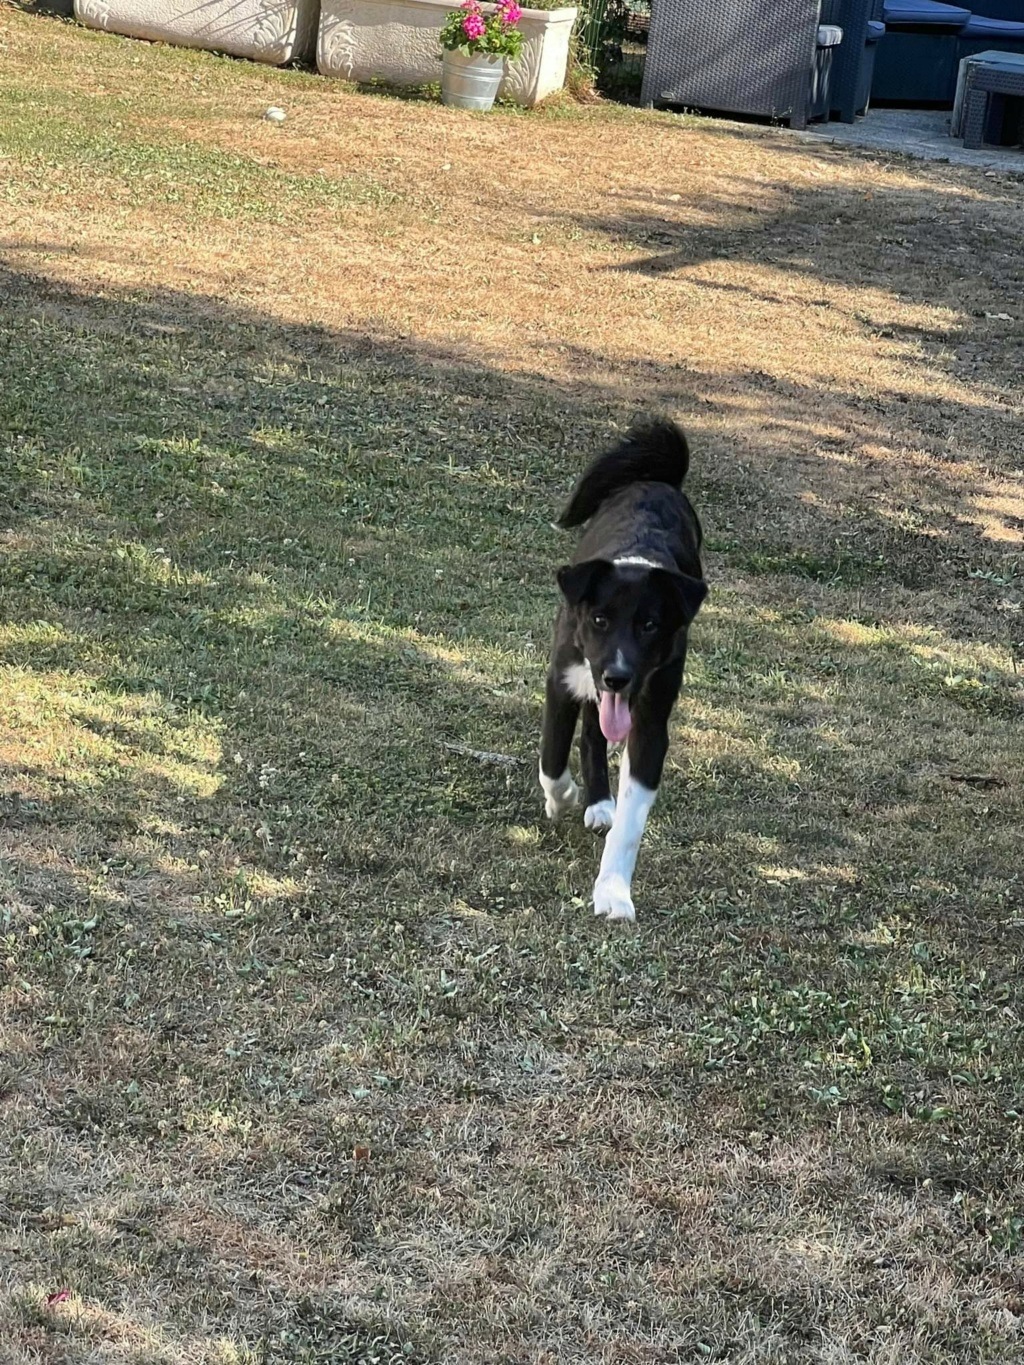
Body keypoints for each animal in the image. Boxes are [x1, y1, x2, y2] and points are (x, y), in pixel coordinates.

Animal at [540, 417, 709, 917]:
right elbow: (552, 757)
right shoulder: (563, 679)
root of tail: (660, 480)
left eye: (650, 625)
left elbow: (630, 825)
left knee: (596, 736)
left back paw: (600, 803)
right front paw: (561, 797)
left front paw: (613, 891)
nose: (618, 676)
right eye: (599, 620)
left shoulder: (650, 718)